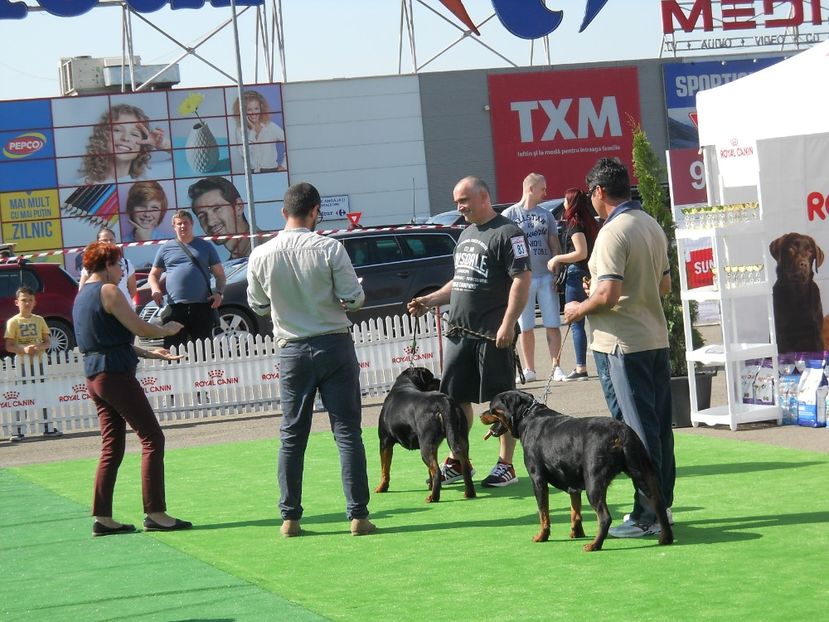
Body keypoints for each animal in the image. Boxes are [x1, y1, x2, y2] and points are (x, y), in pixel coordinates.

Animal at [374, 368, 472, 504]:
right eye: (431, 378)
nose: (439, 380)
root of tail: (444, 401)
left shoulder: (384, 442)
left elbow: (385, 468)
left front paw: (382, 487)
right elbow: (428, 470)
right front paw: (430, 485)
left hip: (425, 445)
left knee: (436, 470)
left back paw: (433, 497)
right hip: (459, 437)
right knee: (464, 464)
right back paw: (469, 493)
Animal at [478, 392, 672, 552]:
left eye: (492, 408)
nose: (481, 414)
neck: (528, 416)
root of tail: (620, 432)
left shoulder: (538, 480)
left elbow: (543, 513)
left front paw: (542, 536)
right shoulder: (572, 481)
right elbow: (575, 510)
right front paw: (576, 533)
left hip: (593, 481)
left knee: (605, 517)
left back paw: (595, 545)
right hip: (644, 473)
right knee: (659, 504)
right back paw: (666, 538)